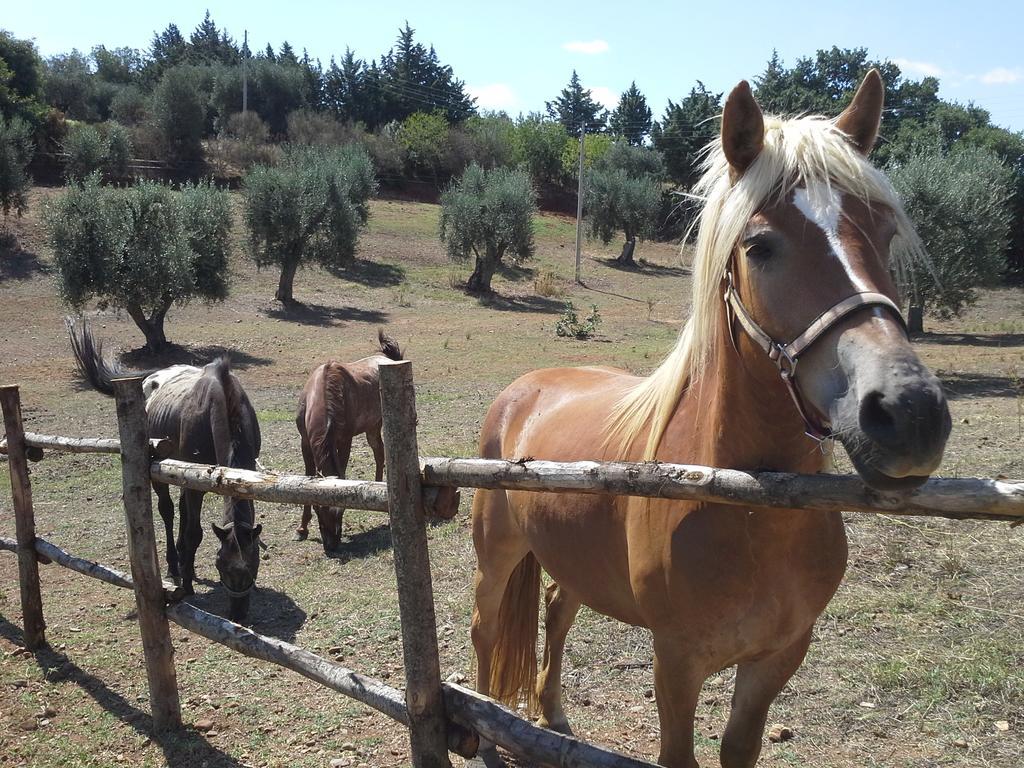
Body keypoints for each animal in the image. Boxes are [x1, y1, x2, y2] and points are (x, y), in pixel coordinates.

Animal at [69, 319, 264, 626]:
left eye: (253, 565)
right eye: (221, 565)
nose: (238, 615)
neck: (222, 401)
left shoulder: (238, 474)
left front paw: (190, 568)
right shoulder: (195, 484)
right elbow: (194, 532)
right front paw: (187, 584)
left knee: (182, 513)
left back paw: (186, 564)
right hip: (162, 475)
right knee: (169, 512)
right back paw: (176, 565)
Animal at [294, 331, 401, 552]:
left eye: (342, 510)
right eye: (320, 508)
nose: (332, 544)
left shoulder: (344, 440)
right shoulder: (305, 442)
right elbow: (308, 476)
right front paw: (301, 529)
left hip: (377, 424)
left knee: (380, 452)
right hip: (371, 428)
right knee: (379, 451)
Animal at [471, 69, 950, 765]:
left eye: (885, 233)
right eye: (760, 245)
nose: (909, 412)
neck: (749, 502)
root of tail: (523, 390)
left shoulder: (778, 658)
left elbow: (738, 749)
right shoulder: (676, 662)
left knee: (557, 614)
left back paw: (554, 717)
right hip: (497, 552)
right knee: (484, 631)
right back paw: (483, 732)